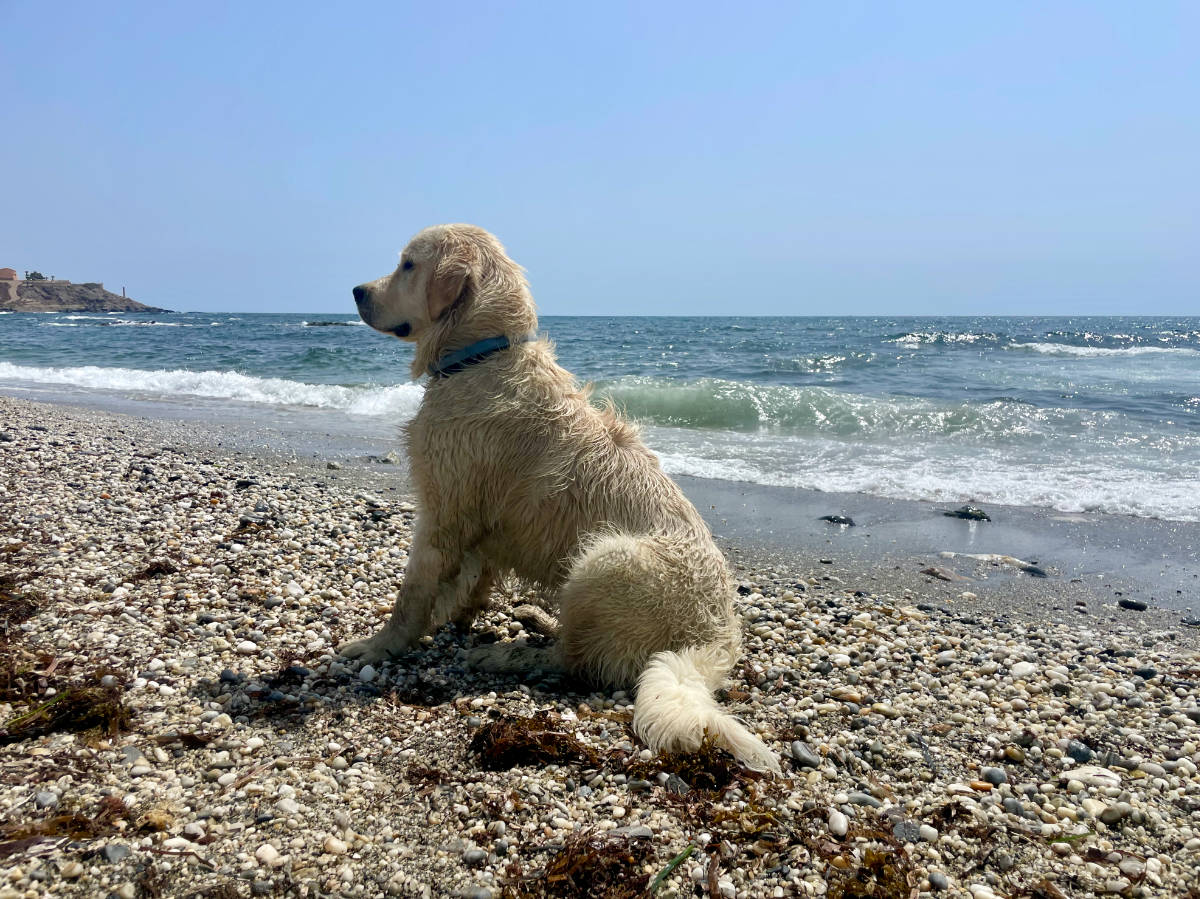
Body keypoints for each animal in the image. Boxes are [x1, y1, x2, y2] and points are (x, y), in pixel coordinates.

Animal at [343, 224, 782, 772]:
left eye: (407, 265)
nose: (356, 291)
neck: (483, 355)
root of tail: (717, 637)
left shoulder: (442, 510)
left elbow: (412, 596)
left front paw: (380, 646)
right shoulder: (476, 524)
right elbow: (467, 582)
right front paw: (454, 616)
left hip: (605, 559)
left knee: (572, 662)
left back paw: (504, 655)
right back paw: (536, 619)